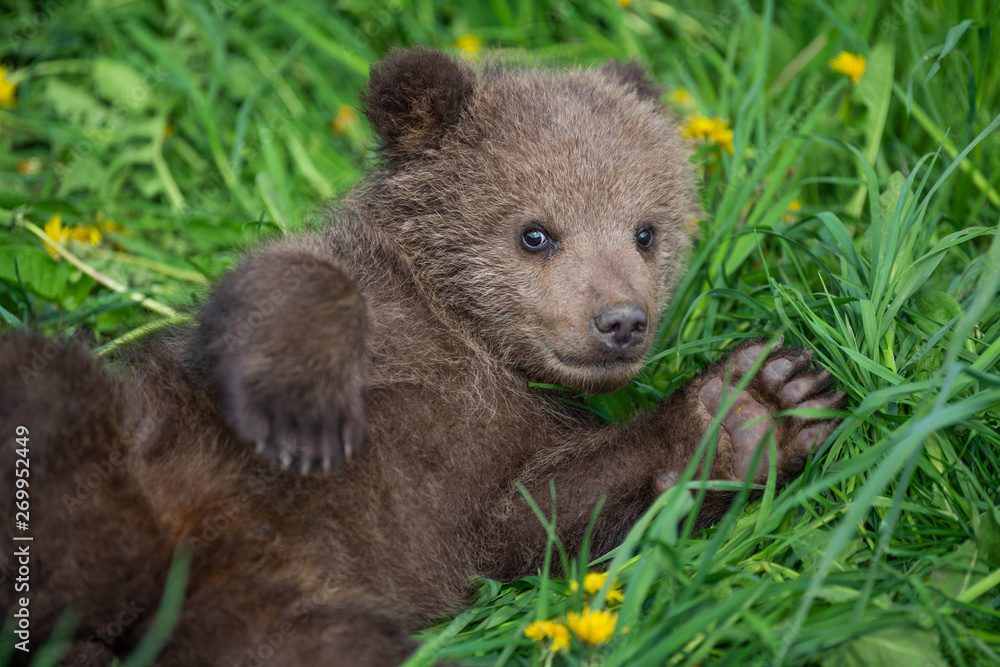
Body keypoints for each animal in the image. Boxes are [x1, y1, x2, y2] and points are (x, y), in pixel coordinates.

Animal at [0, 48, 843, 666]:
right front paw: (304, 415)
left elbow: (547, 508)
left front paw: (756, 407)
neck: (473, 343)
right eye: (535, 232)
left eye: (646, 230)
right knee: (49, 395)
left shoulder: (495, 463)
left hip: (275, 611)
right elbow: (284, 277)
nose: (620, 320)